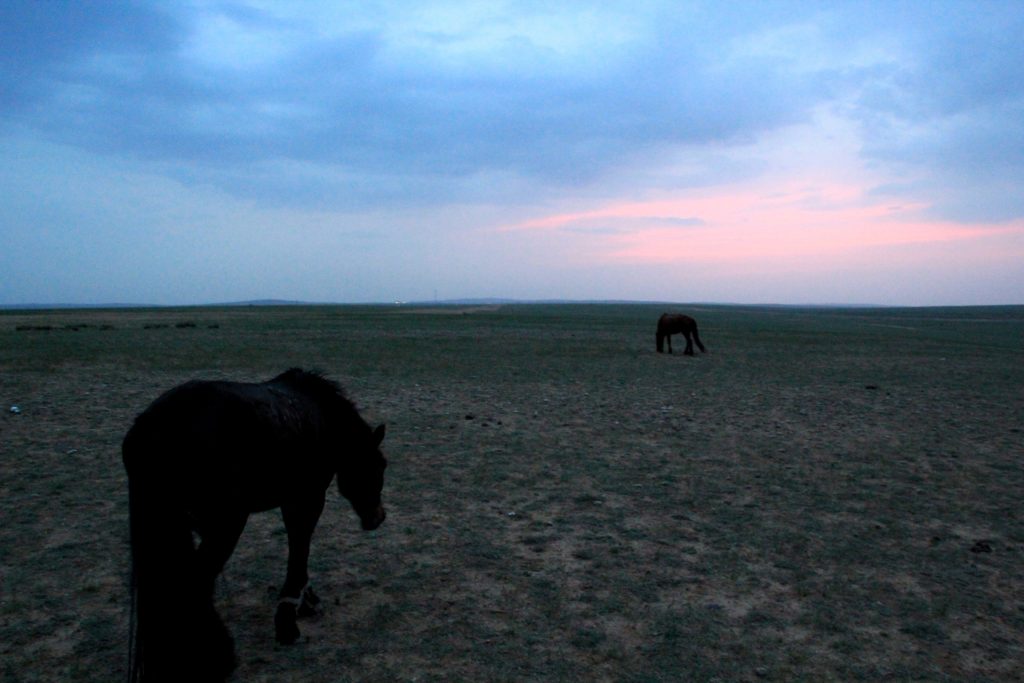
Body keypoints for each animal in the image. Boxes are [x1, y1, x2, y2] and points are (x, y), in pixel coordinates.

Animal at [123, 370, 387, 679]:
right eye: (379, 465)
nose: (378, 517)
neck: (324, 417)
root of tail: (151, 429)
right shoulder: (308, 497)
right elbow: (300, 546)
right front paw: (290, 620)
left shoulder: (290, 499)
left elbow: (298, 544)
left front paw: (305, 601)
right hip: (227, 524)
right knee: (196, 579)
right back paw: (217, 658)